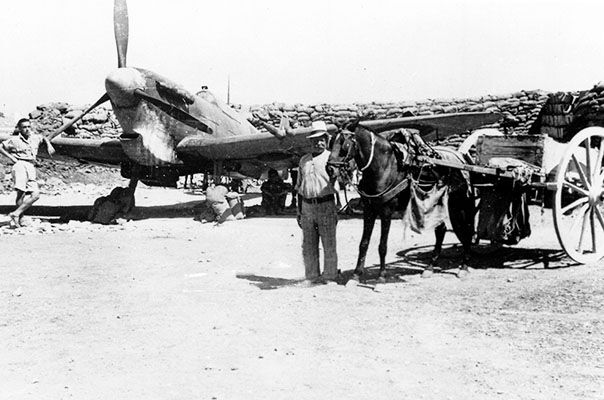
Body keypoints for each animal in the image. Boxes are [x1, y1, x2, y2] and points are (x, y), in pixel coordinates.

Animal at [326, 122, 476, 282]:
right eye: (331, 142)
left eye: (345, 144)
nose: (329, 169)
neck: (384, 168)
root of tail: (462, 160)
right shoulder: (369, 209)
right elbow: (363, 243)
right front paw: (356, 274)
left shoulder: (386, 211)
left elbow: (382, 246)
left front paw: (382, 275)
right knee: (441, 231)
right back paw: (429, 267)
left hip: (459, 204)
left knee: (467, 230)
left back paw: (464, 266)